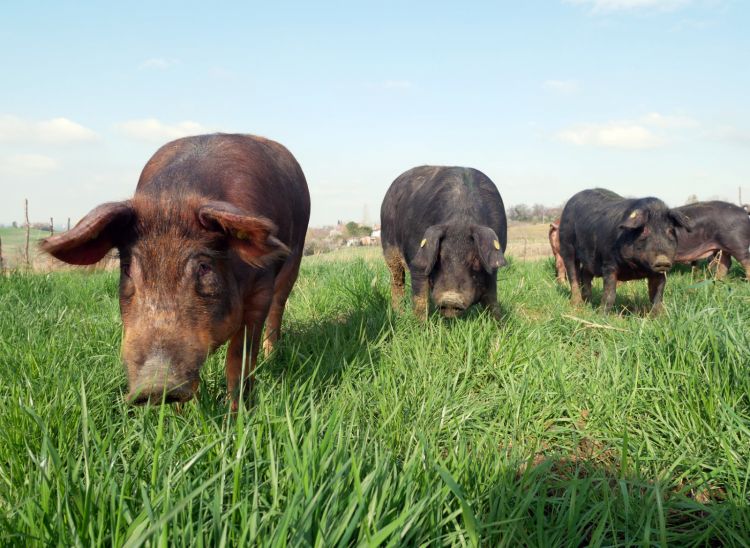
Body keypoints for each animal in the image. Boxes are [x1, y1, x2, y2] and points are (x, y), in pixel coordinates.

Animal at [40, 133, 312, 406]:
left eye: (204, 267)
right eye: (127, 268)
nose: (154, 384)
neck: (174, 200)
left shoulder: (259, 291)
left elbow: (238, 362)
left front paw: (236, 412)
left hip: (295, 259)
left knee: (278, 308)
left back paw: (272, 357)